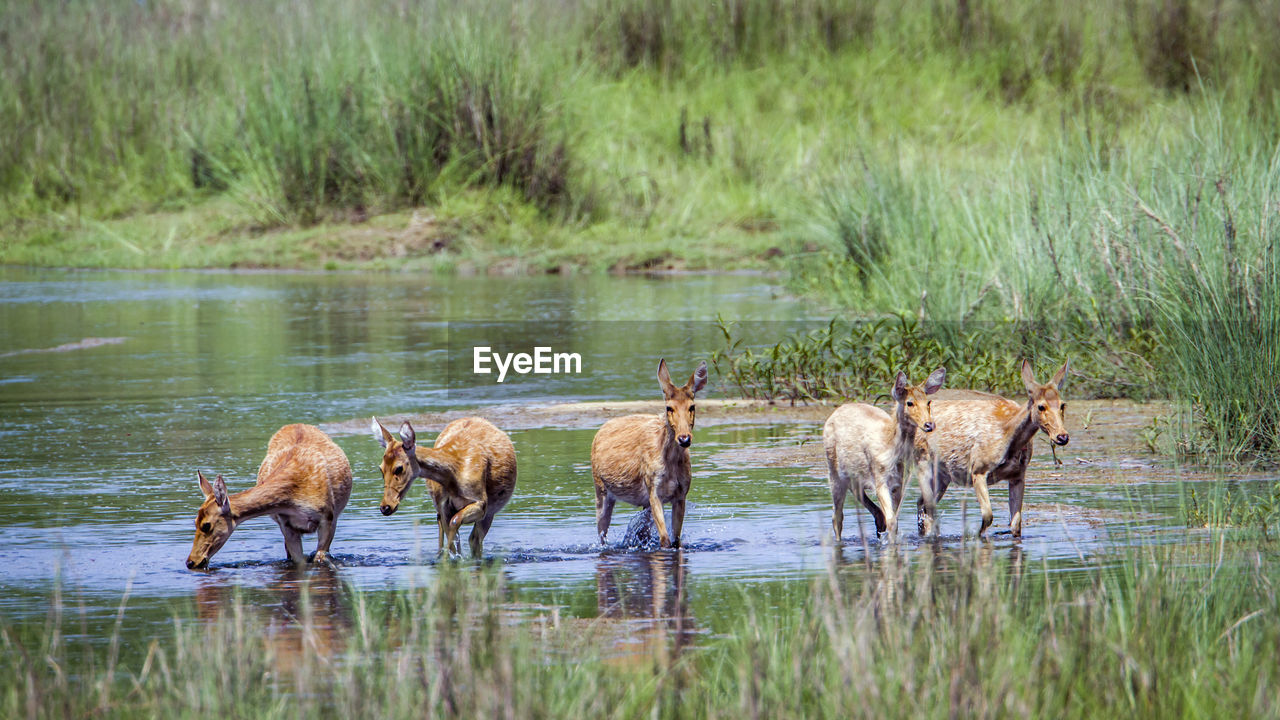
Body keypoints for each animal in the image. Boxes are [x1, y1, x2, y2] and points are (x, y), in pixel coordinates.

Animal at [186, 422, 353, 568]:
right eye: (194, 521)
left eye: (206, 525)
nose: (191, 562)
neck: (295, 499)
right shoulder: (285, 523)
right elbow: (299, 561)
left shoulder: (327, 517)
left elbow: (318, 558)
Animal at [371, 415, 514, 556]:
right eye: (381, 469)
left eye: (399, 468)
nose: (385, 507)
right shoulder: (443, 505)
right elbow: (453, 535)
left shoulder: (481, 502)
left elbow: (456, 524)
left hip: (490, 511)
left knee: (474, 540)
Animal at [591, 356, 711, 545]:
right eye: (669, 408)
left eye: (692, 406)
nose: (684, 438)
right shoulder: (653, 488)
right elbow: (665, 539)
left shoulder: (681, 493)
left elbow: (676, 540)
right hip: (600, 490)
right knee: (602, 534)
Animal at [824, 366, 947, 540]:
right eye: (909, 402)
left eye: (928, 402)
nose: (929, 425)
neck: (892, 450)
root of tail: (834, 412)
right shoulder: (879, 478)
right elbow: (892, 521)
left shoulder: (898, 482)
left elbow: (895, 519)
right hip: (833, 469)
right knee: (837, 516)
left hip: (855, 474)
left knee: (858, 495)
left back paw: (878, 527)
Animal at [916, 356, 1075, 535]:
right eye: (1041, 406)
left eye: (1062, 404)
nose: (1062, 436)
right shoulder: (978, 469)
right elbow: (988, 516)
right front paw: (975, 536)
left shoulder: (1018, 475)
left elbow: (1016, 524)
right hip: (922, 460)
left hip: (943, 474)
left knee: (922, 504)